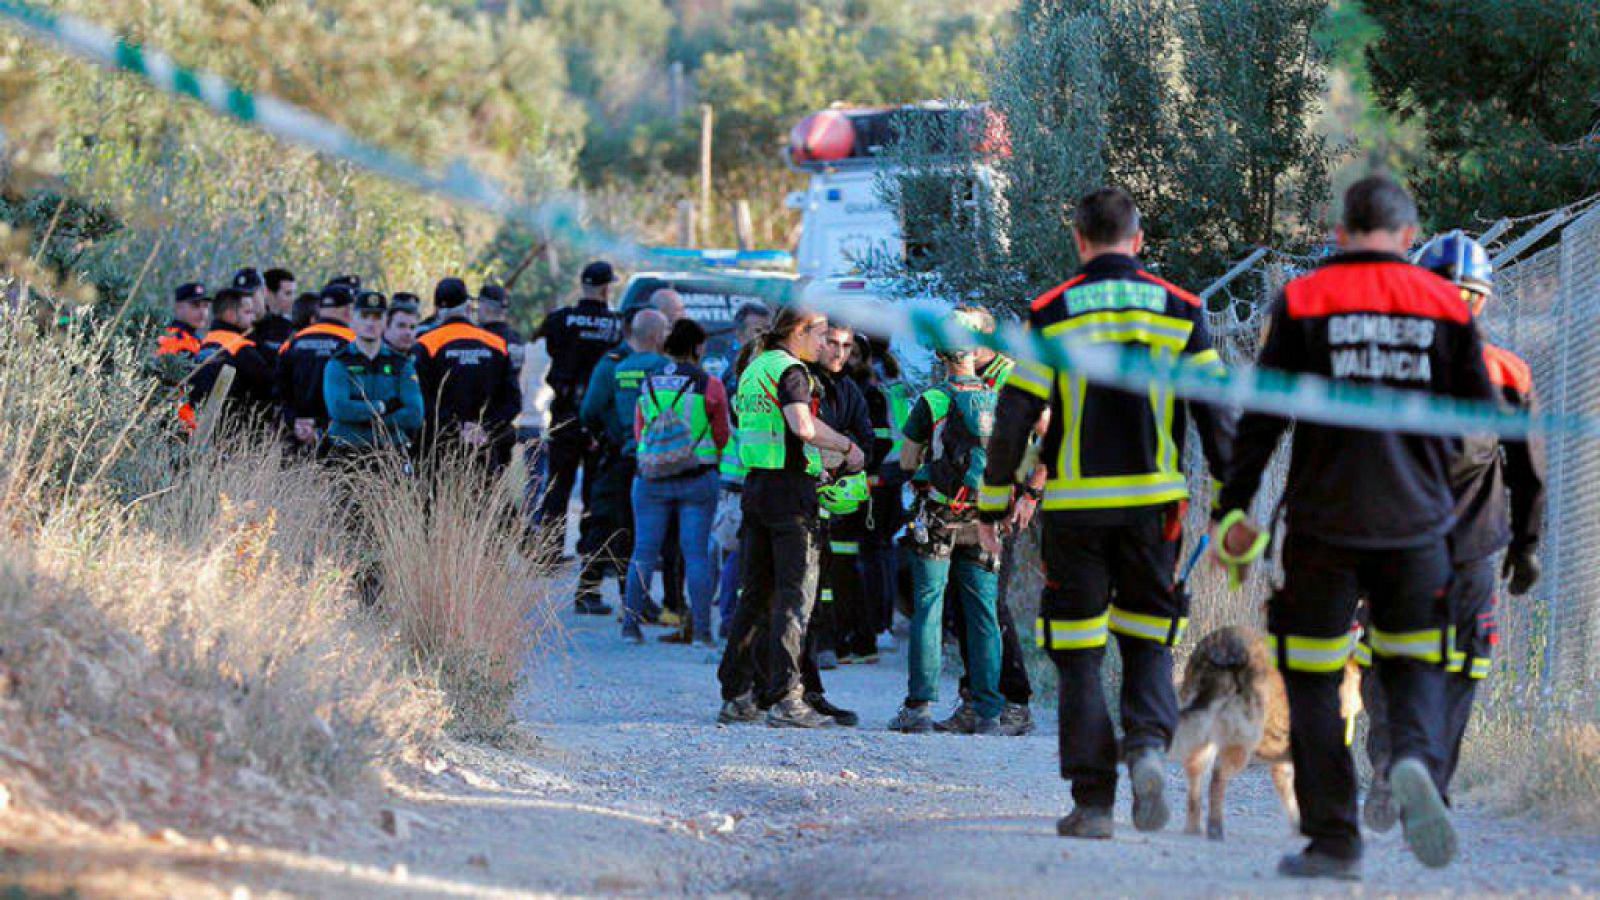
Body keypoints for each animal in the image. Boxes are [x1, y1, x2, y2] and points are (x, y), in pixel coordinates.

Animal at [1171, 627, 1356, 839]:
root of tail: (1223, 646)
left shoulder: (1284, 764)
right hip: (1243, 739)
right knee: (1218, 778)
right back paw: (1215, 828)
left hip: (1203, 735)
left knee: (1195, 779)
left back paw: (1193, 828)